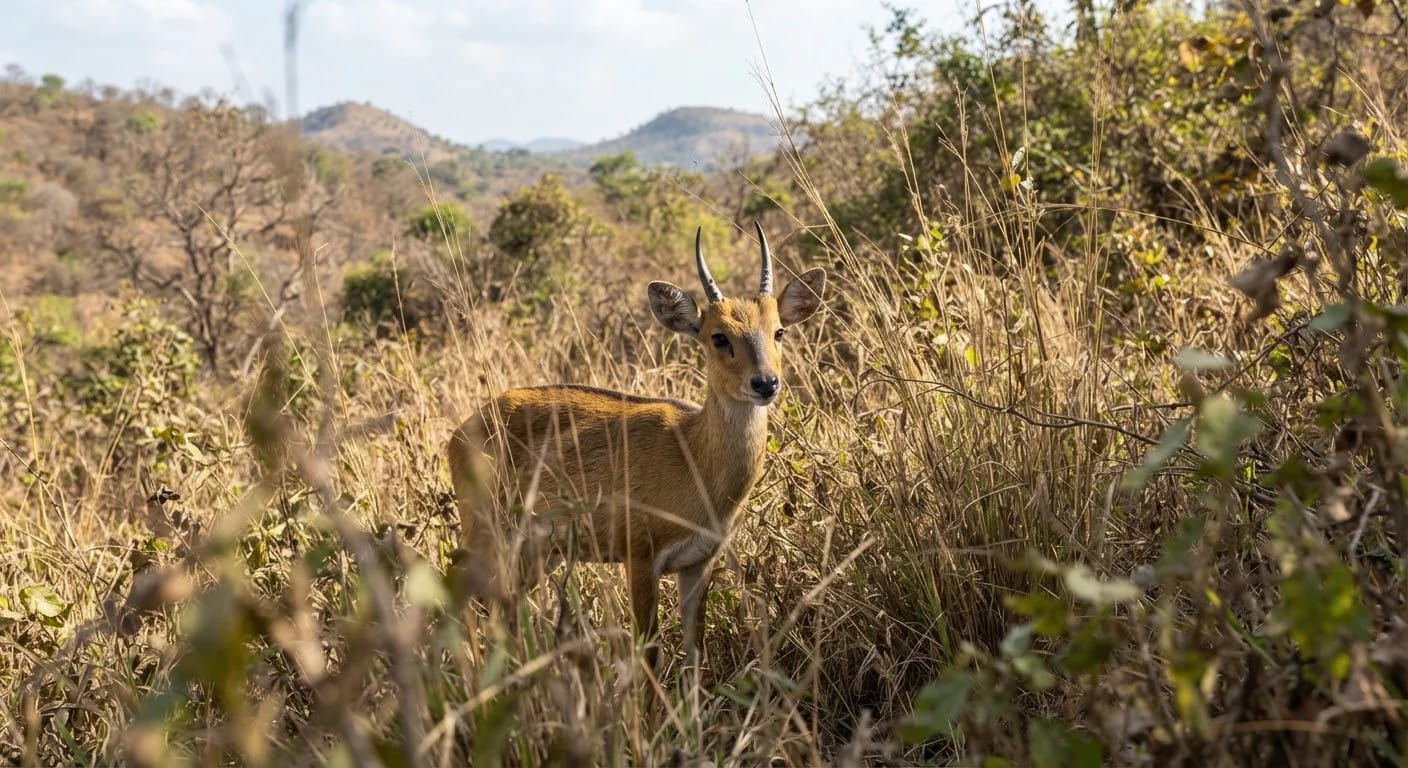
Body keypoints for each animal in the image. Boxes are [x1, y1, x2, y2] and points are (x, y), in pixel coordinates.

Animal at [447, 224, 826, 668]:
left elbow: (694, 650)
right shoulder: (641, 558)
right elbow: (649, 651)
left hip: (535, 553)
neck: (694, 456)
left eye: (778, 331)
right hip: (486, 535)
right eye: (718, 337)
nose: (765, 382)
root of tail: (462, 430)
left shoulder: (698, 562)